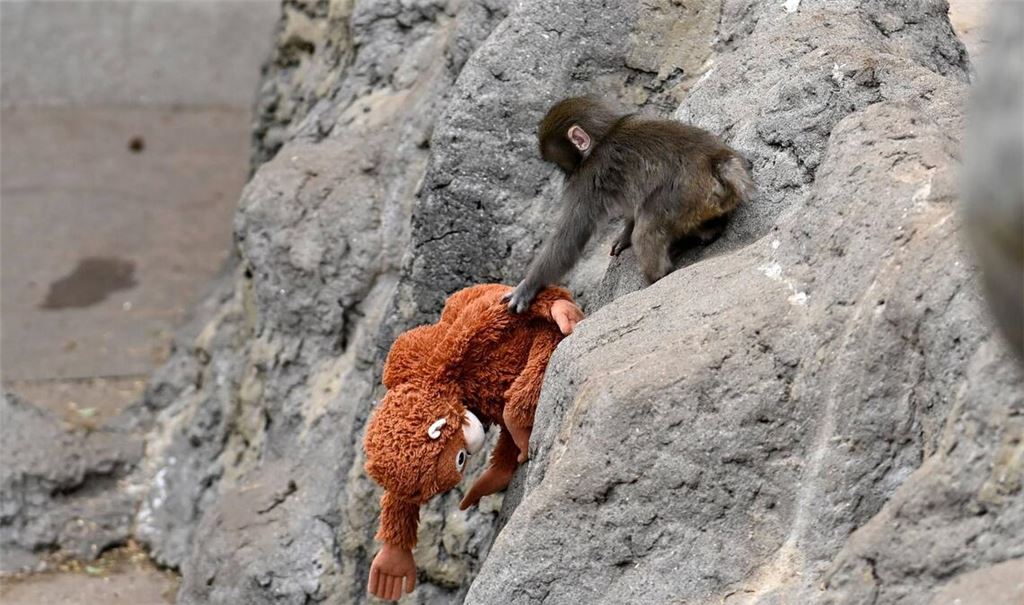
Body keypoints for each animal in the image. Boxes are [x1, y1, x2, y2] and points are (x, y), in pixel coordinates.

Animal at [504, 96, 755, 313]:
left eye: (559, 164)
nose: (565, 175)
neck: (604, 135)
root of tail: (718, 162)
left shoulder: (586, 178)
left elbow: (570, 236)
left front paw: (528, 286)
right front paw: (623, 236)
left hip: (682, 198)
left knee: (646, 231)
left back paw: (656, 275)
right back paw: (708, 231)